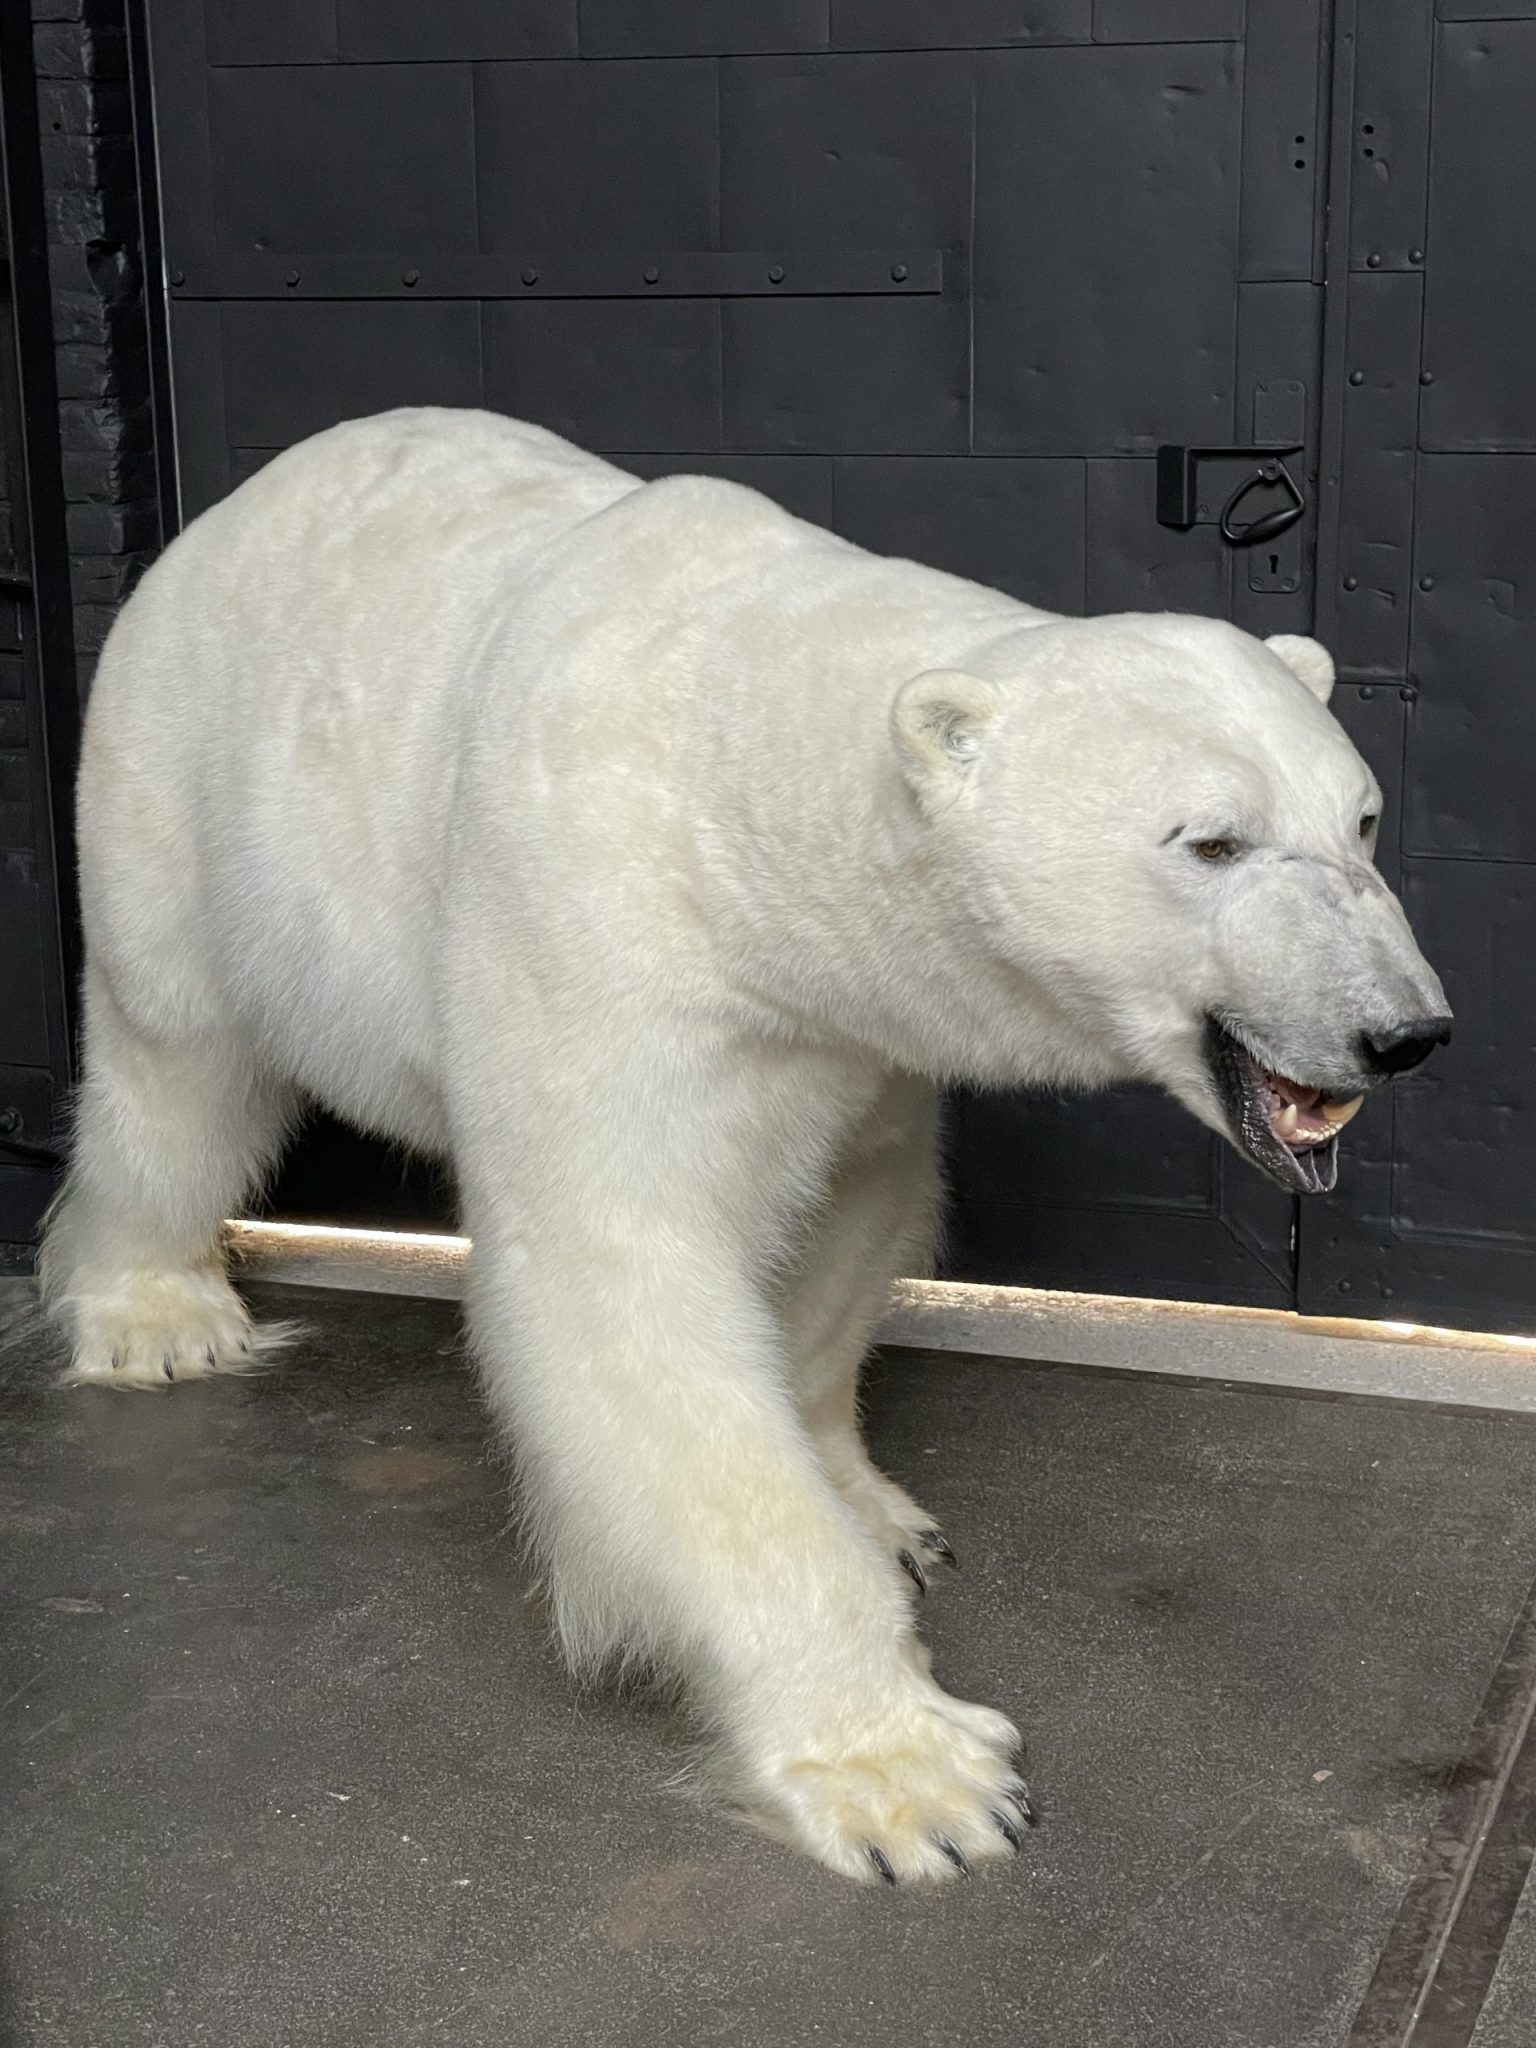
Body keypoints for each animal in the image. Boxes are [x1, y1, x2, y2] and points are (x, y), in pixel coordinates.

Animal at [39, 411, 1458, 1884]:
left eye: (1359, 818)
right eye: (1213, 840)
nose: (1403, 1031)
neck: (734, 794)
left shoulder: (849, 1033)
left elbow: (846, 1222)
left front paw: (880, 1511)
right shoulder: (598, 936)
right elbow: (627, 1290)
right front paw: (915, 1777)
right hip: (175, 788)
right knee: (175, 1060)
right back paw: (156, 1315)